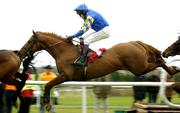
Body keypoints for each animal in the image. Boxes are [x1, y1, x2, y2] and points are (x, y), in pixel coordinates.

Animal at [20, 30, 180, 111]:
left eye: (29, 41)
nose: (20, 52)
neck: (63, 51)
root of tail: (136, 43)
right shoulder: (64, 76)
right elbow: (48, 85)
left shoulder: (66, 75)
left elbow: (48, 85)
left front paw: (47, 104)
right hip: (139, 67)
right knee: (158, 61)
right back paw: (172, 69)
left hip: (139, 68)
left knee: (159, 61)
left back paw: (172, 69)